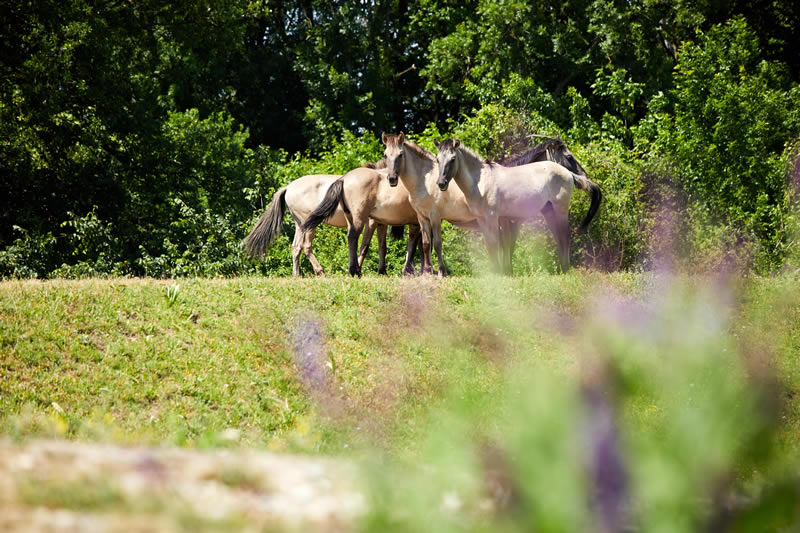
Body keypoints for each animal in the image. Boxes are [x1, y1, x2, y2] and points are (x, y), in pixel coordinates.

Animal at [242, 172, 418, 276]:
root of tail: (288, 187)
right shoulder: (371, 222)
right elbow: (365, 246)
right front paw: (359, 269)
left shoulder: (381, 223)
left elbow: (382, 247)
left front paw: (382, 272)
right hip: (309, 226)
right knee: (306, 246)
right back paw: (320, 271)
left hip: (300, 225)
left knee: (296, 247)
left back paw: (297, 275)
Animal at [432, 138, 600, 270]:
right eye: (438, 160)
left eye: (453, 159)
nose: (441, 183)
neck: (481, 182)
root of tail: (568, 173)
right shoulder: (484, 219)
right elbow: (492, 246)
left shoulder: (495, 218)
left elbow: (498, 245)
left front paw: (501, 273)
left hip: (560, 210)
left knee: (564, 236)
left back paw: (565, 269)